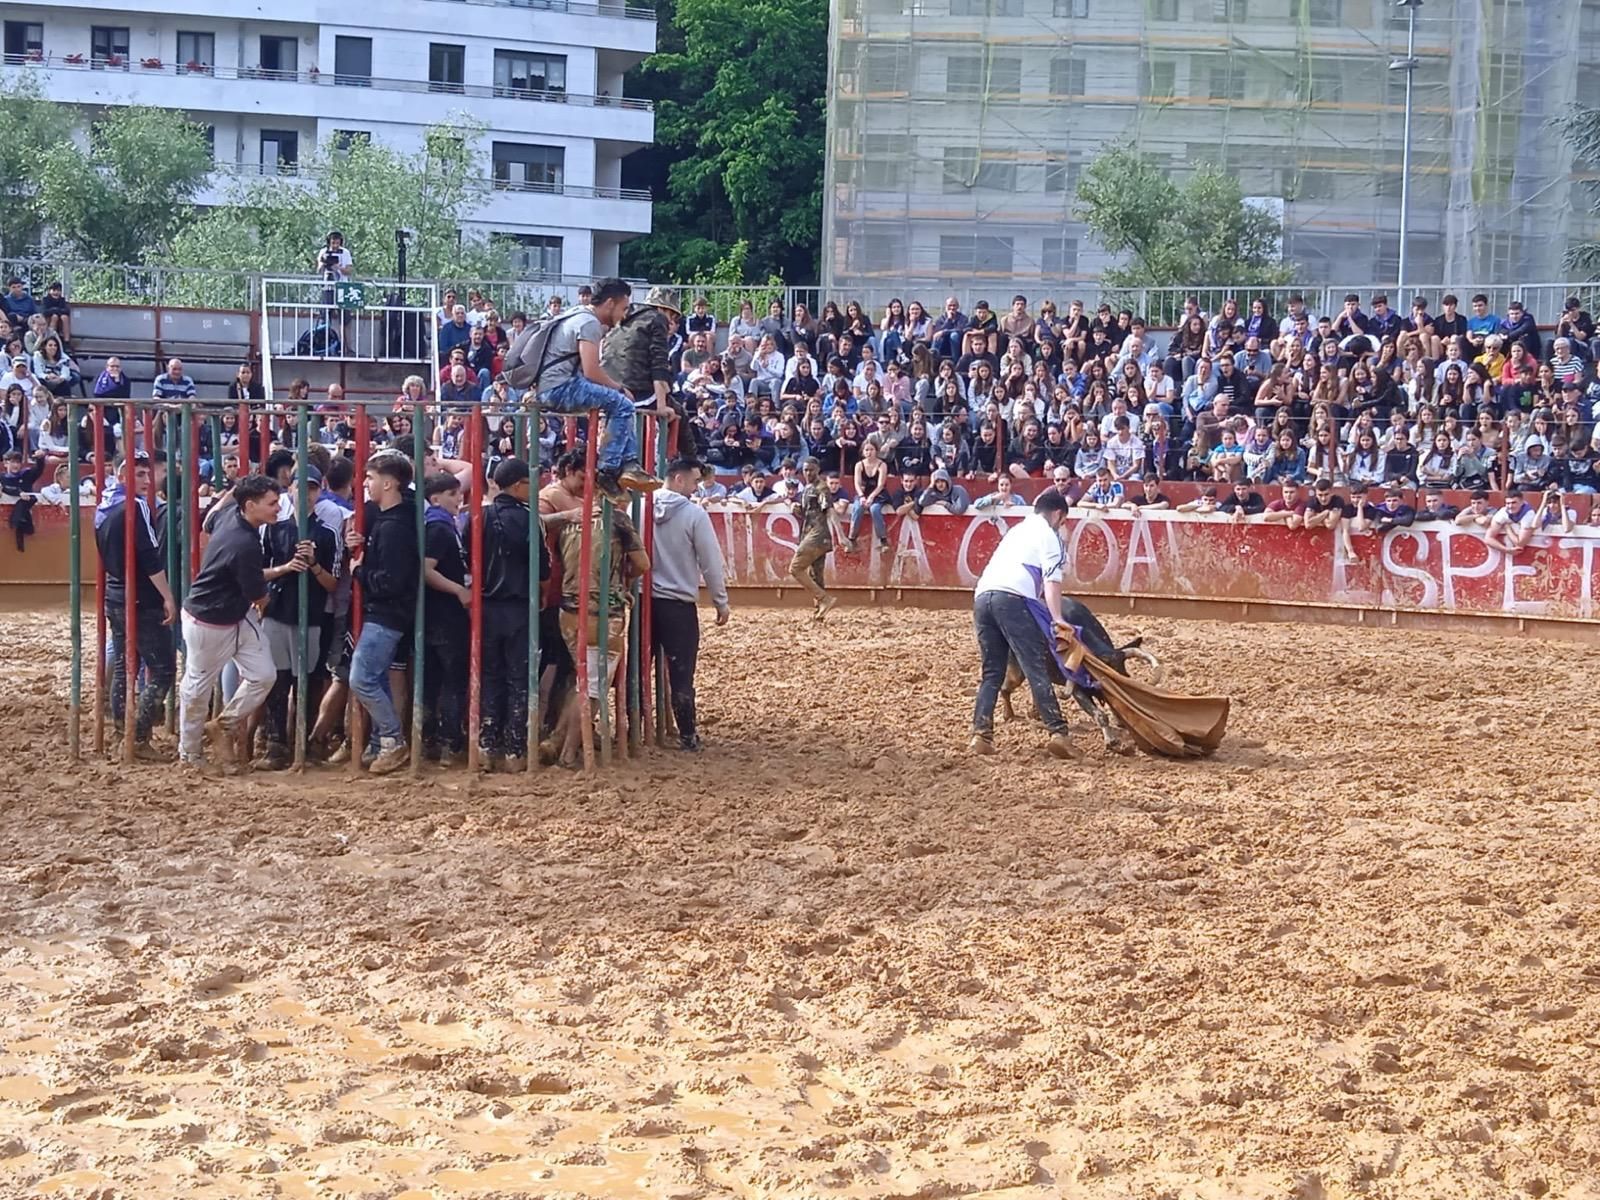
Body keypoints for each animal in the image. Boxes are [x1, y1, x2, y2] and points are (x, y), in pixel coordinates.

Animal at [998, 598, 1164, 755]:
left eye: (1123, 674)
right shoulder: (1078, 691)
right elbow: (1100, 714)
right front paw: (1112, 741)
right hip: (1017, 671)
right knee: (1005, 689)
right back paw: (1008, 715)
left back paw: (1034, 713)